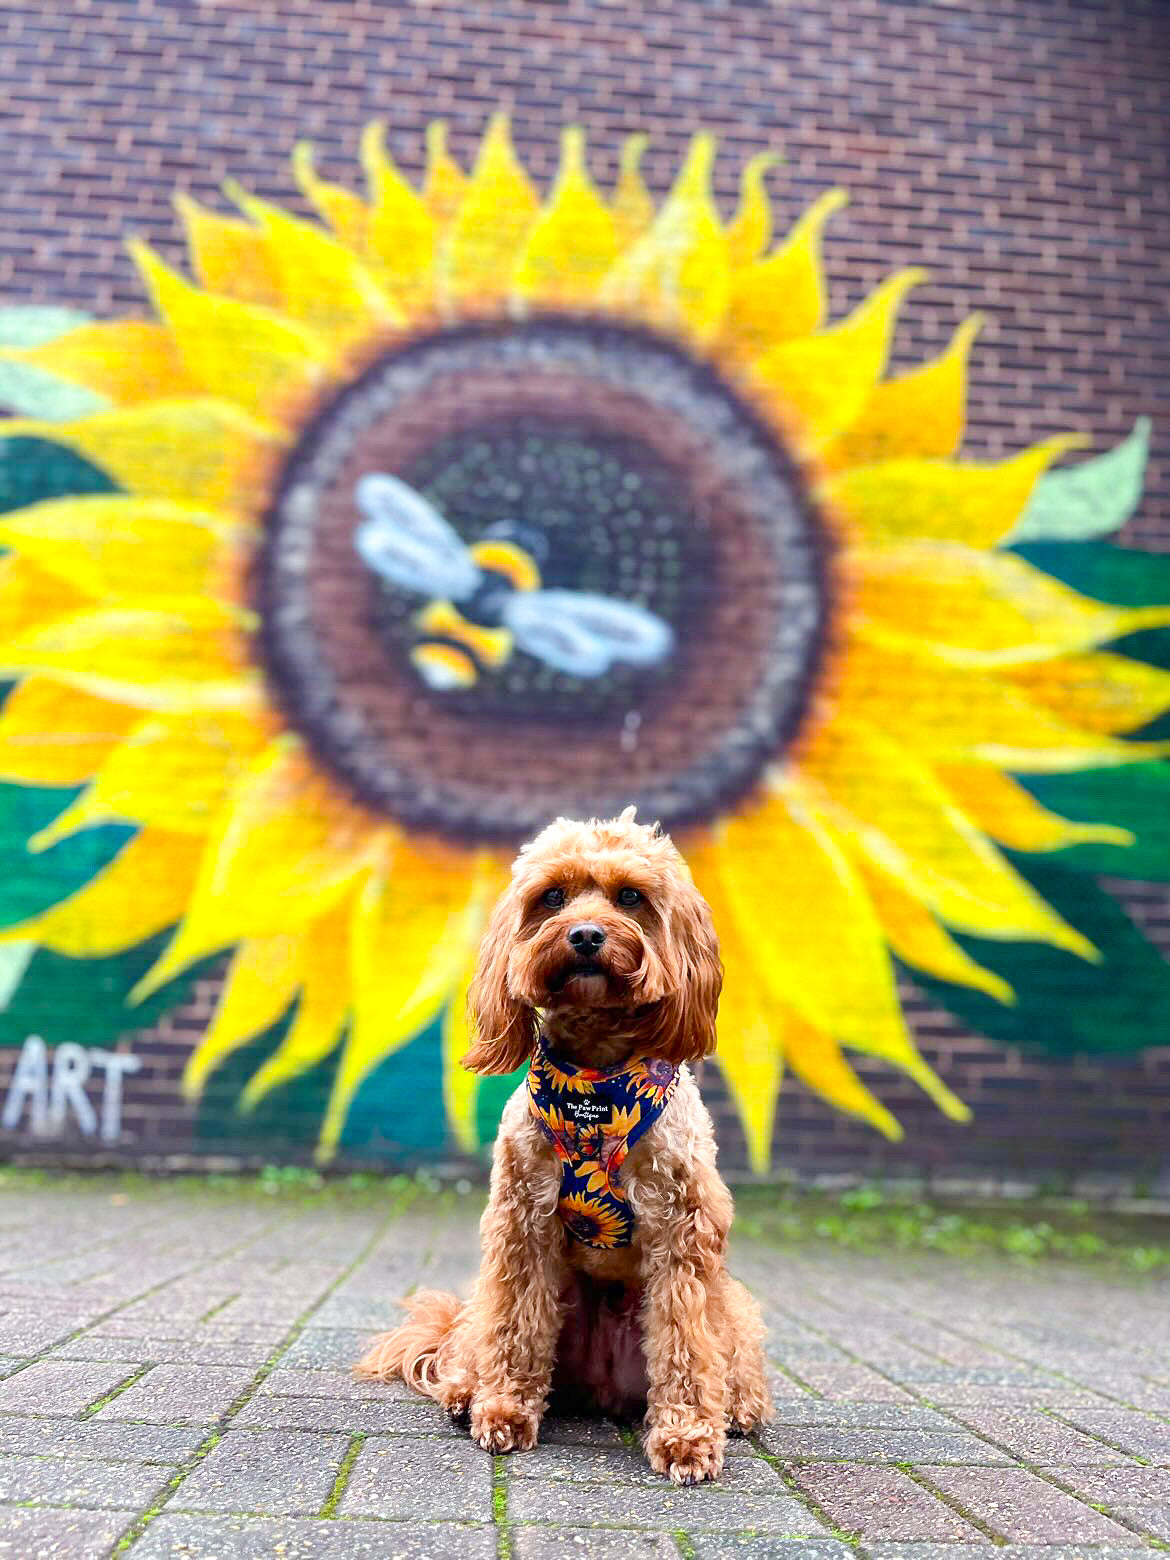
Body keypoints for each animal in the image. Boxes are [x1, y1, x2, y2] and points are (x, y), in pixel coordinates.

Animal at [357, 811, 780, 1478]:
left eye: (630, 897)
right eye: (552, 896)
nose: (584, 935)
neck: (594, 1086)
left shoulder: (683, 1234)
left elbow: (686, 1341)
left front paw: (688, 1435)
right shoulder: (523, 1223)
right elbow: (513, 1325)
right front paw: (504, 1409)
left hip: (727, 1302)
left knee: (726, 1355)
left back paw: (736, 1409)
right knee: (478, 1337)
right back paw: (465, 1390)